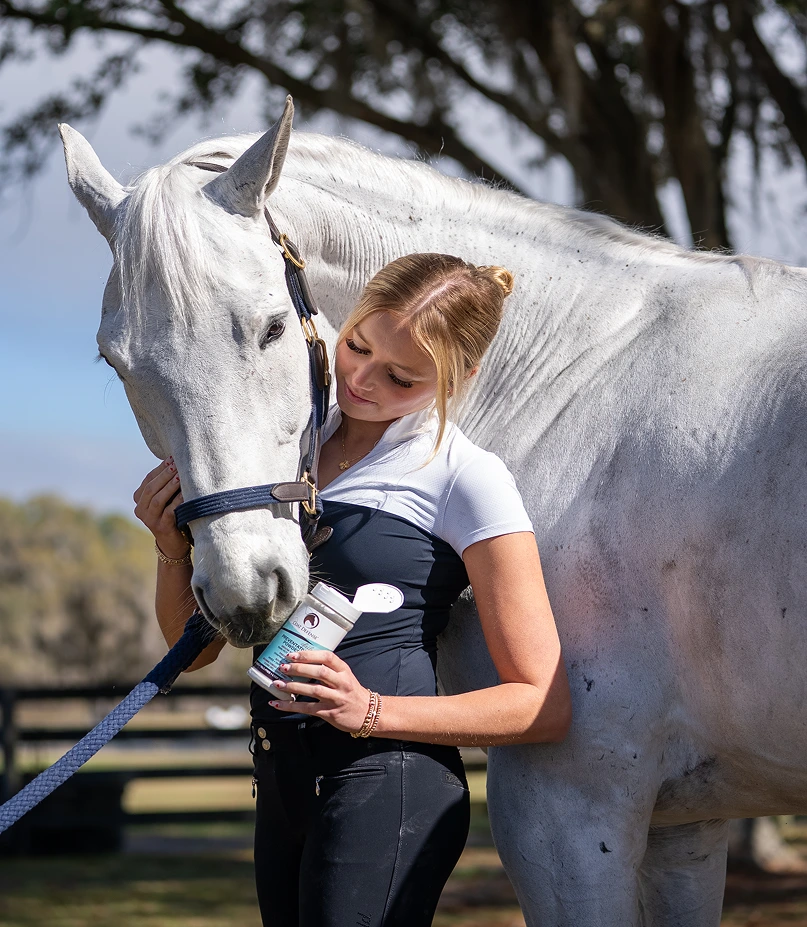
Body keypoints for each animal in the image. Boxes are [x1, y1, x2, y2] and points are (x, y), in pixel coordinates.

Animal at [59, 97, 807, 926]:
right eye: (116, 362)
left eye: (271, 327)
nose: (244, 588)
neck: (571, 382)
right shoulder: (684, 824)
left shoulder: (567, 801)